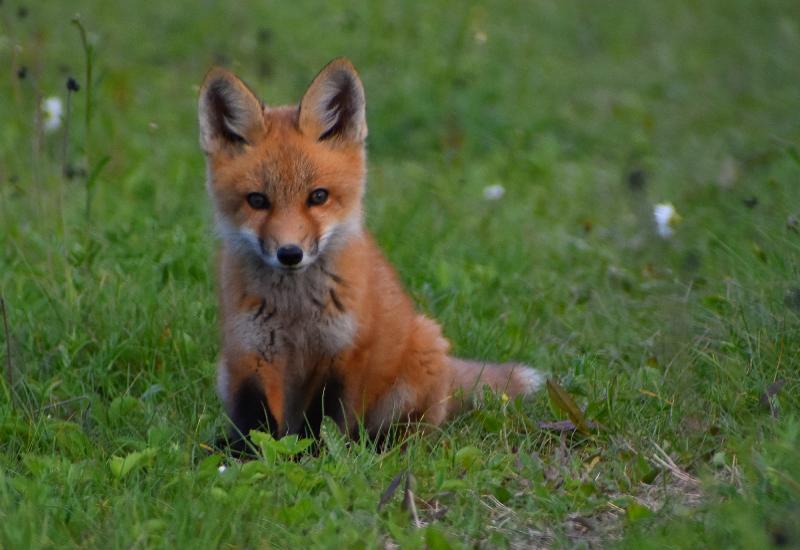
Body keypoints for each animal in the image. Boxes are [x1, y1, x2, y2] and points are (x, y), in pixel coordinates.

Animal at [199, 58, 544, 450]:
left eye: (318, 196)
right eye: (257, 200)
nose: (290, 254)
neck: (295, 312)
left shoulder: (342, 354)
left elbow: (323, 424)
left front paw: (318, 457)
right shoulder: (248, 354)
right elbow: (254, 424)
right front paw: (245, 457)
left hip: (420, 359)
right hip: (225, 371)